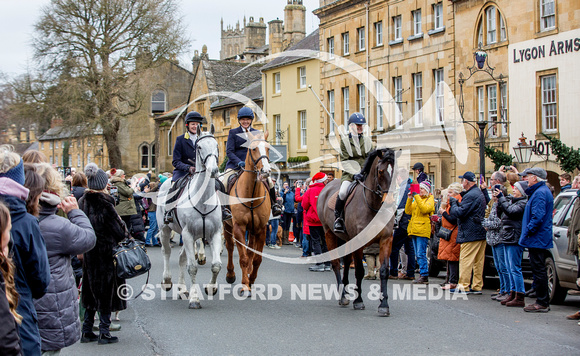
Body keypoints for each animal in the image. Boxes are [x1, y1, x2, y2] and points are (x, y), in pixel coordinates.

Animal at [156, 128, 222, 308]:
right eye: (198, 147)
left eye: (217, 145)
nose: (213, 170)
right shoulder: (187, 234)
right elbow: (192, 267)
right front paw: (194, 299)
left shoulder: (214, 234)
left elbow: (216, 265)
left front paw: (211, 288)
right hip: (165, 230)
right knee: (166, 252)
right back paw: (167, 281)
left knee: (181, 258)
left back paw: (182, 289)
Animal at [225, 132, 274, 296]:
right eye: (253, 149)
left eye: (268, 148)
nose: (266, 171)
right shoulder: (239, 227)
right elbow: (243, 258)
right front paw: (245, 285)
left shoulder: (261, 229)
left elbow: (257, 258)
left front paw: (251, 279)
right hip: (227, 225)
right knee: (230, 247)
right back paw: (231, 274)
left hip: (252, 230)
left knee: (250, 251)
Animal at [318, 149, 398, 316]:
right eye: (381, 171)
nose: (390, 202)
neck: (374, 206)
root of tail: (328, 186)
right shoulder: (359, 242)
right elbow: (360, 270)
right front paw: (358, 301)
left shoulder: (386, 239)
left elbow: (383, 270)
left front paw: (384, 305)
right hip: (329, 234)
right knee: (336, 264)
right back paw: (343, 296)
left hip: (346, 240)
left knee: (347, 262)